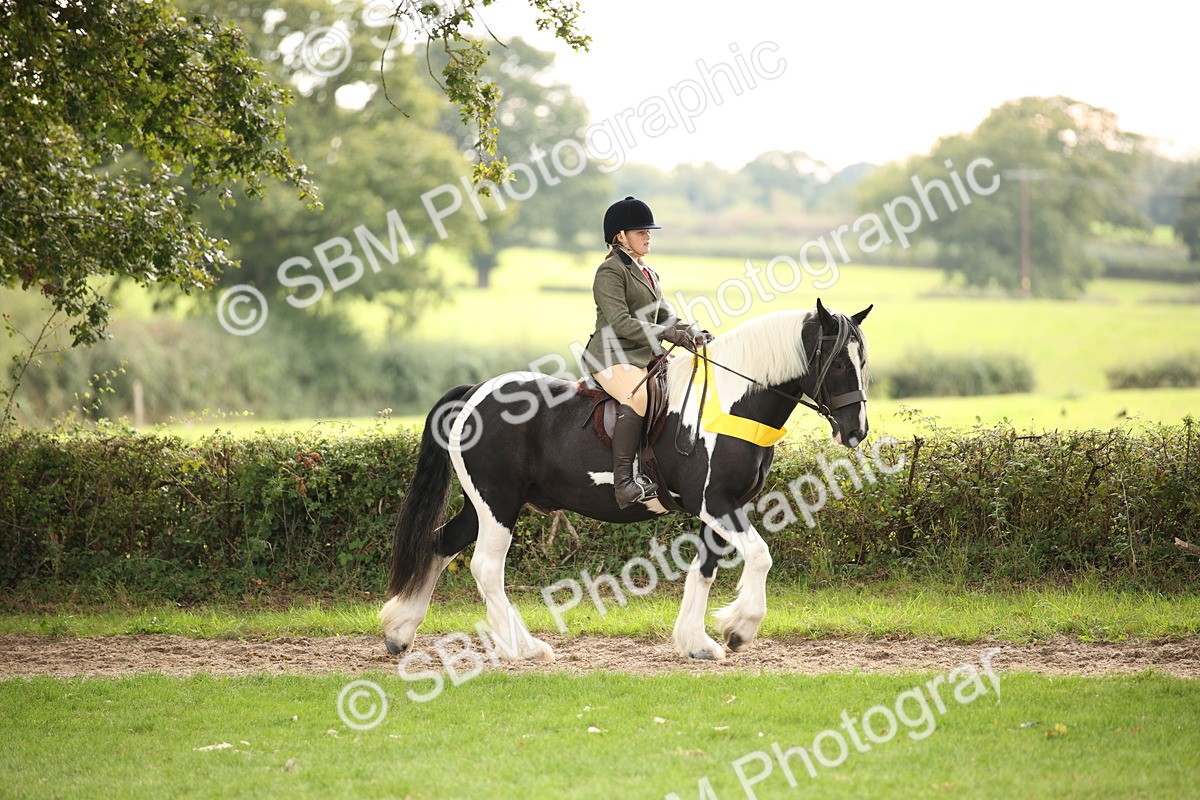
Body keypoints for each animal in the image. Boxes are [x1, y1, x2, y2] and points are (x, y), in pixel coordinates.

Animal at [381, 298, 872, 661]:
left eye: (863, 360)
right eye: (839, 364)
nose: (857, 431)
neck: (730, 403)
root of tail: (475, 394)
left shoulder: (722, 507)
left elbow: (704, 569)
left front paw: (697, 643)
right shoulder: (716, 503)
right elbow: (760, 555)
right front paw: (739, 629)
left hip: (483, 505)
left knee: (440, 543)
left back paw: (399, 631)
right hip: (498, 503)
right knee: (485, 567)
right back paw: (525, 648)